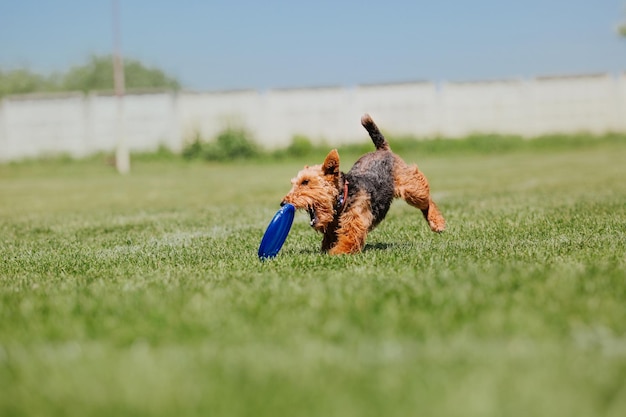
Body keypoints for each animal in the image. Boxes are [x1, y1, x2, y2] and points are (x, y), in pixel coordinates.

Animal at [278, 113, 444, 254]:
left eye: (305, 182)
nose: (283, 202)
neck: (343, 197)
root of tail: (382, 150)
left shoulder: (354, 222)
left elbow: (347, 242)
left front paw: (334, 253)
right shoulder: (333, 228)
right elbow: (328, 241)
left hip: (411, 188)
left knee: (427, 200)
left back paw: (437, 223)